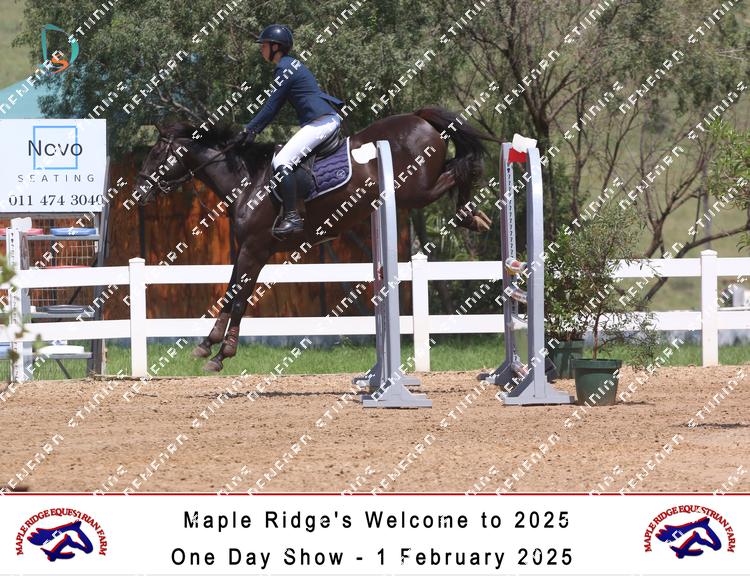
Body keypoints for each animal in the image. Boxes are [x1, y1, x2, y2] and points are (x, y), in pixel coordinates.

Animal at [134, 106, 498, 372]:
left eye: (157, 152)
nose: (138, 192)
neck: (248, 182)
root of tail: (418, 117)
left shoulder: (255, 248)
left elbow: (239, 296)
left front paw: (222, 353)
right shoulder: (248, 250)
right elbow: (231, 292)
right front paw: (207, 345)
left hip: (414, 191)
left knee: (461, 169)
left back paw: (470, 214)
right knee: (455, 167)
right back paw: (474, 215)